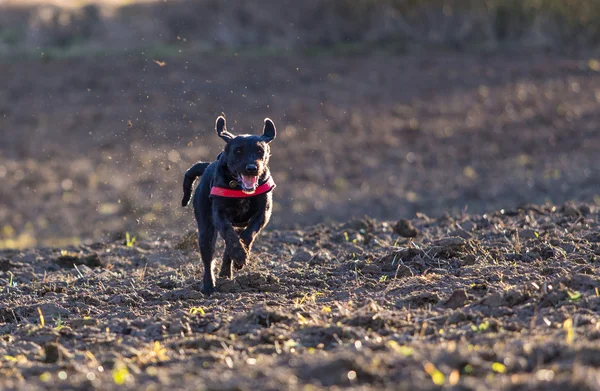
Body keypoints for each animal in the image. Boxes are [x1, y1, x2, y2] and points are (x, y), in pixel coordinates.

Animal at [180, 115, 276, 294]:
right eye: (238, 151)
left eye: (260, 151)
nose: (251, 168)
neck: (240, 188)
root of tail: (207, 166)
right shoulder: (219, 215)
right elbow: (228, 233)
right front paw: (239, 254)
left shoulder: (263, 213)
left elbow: (248, 234)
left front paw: (241, 256)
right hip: (205, 230)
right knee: (208, 259)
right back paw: (209, 287)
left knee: (228, 249)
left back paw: (226, 274)